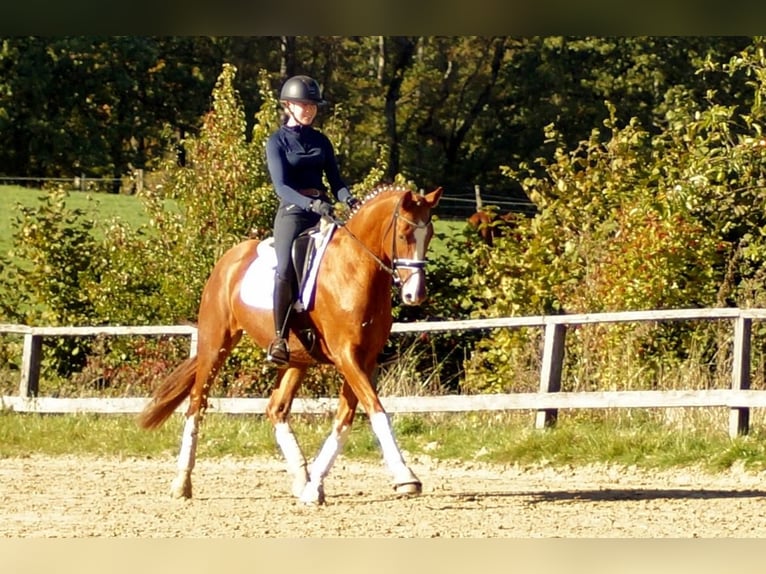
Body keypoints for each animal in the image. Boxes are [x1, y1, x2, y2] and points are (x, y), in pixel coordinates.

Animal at [138, 183, 444, 504]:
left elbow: (345, 419)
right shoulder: (346, 356)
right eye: (404, 235)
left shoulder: (365, 359)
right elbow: (377, 411)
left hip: (296, 358)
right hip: (215, 343)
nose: (415, 295)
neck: (355, 269)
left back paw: (301, 478)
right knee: (197, 404)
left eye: (429, 235)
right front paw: (405, 476)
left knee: (276, 408)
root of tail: (230, 258)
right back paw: (181, 483)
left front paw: (314, 486)